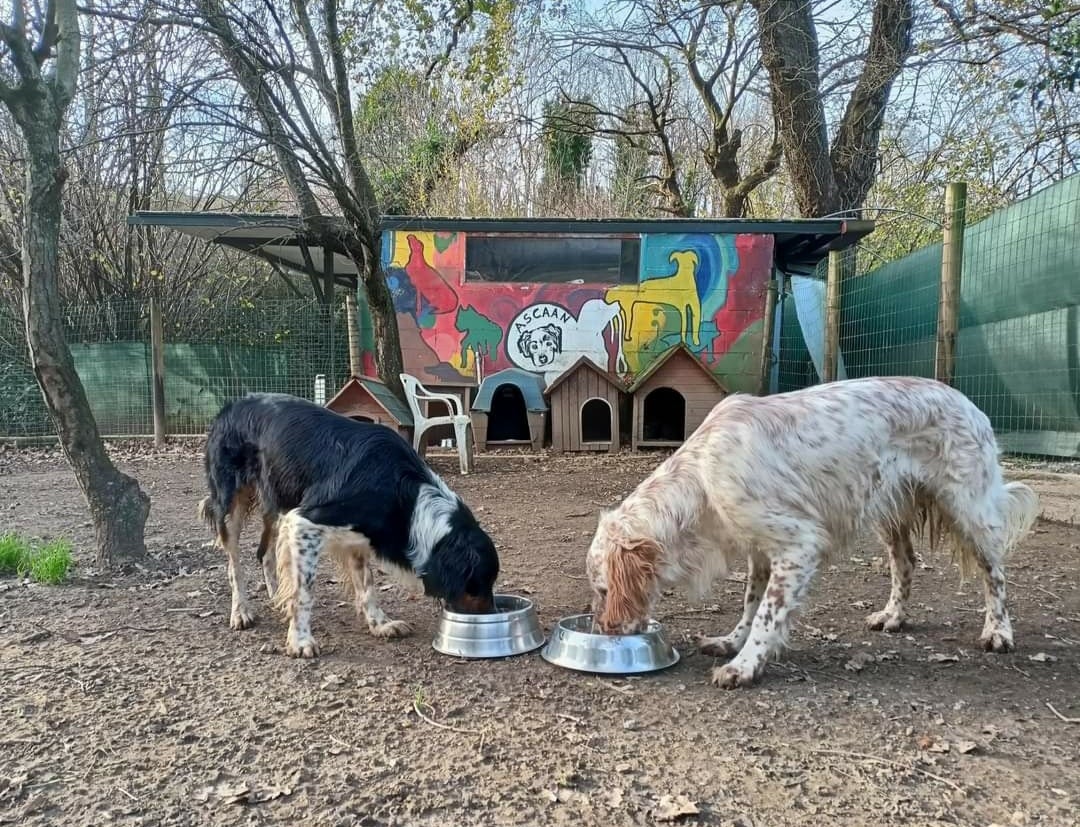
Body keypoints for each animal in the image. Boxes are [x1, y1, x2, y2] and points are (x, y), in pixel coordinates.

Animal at [196, 392, 498, 656]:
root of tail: (231, 405)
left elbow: (367, 586)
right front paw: (300, 640)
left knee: (264, 553)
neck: (405, 497)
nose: (491, 615)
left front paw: (380, 624)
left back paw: (275, 596)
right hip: (232, 505)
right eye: (479, 583)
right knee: (234, 564)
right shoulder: (305, 521)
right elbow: (304, 591)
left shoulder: (358, 537)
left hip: (276, 501)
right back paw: (241, 611)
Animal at [587, 375, 1041, 686]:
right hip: (890, 514)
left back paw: (998, 631)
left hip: (969, 508)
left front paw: (744, 665)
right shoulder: (759, 551)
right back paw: (893, 616)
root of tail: (971, 403)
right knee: (906, 563)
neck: (701, 477)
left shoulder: (798, 546)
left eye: (604, 591)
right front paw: (732, 642)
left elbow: (768, 614)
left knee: (995, 572)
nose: (603, 630)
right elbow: (750, 606)